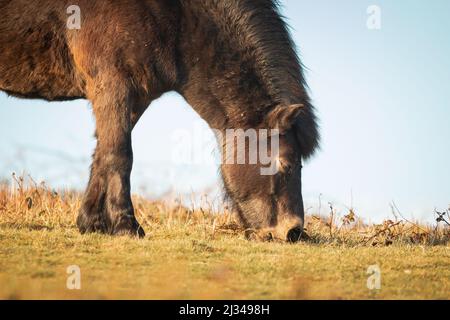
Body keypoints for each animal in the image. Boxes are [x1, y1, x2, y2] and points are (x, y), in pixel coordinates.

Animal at [0, 0, 318, 240]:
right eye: (286, 164)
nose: (292, 231)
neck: (174, 15)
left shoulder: (133, 97)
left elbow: (103, 155)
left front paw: (91, 223)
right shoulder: (113, 85)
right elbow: (120, 155)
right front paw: (126, 227)